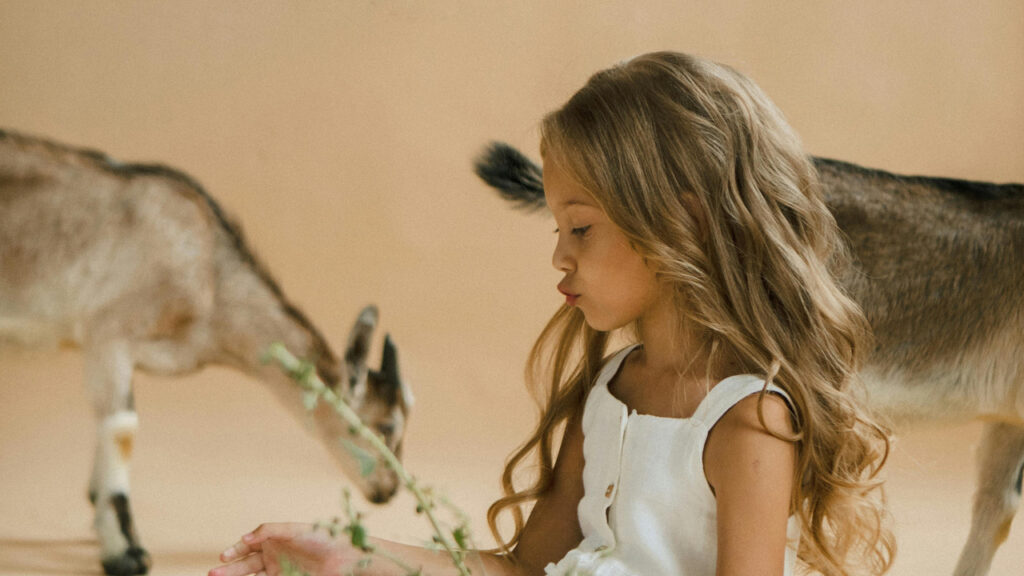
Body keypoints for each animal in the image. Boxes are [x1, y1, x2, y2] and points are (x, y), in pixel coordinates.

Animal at [0, 129, 413, 576]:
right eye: (386, 426)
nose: (389, 490)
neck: (209, 275)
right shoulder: (109, 333)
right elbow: (122, 429)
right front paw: (125, 552)